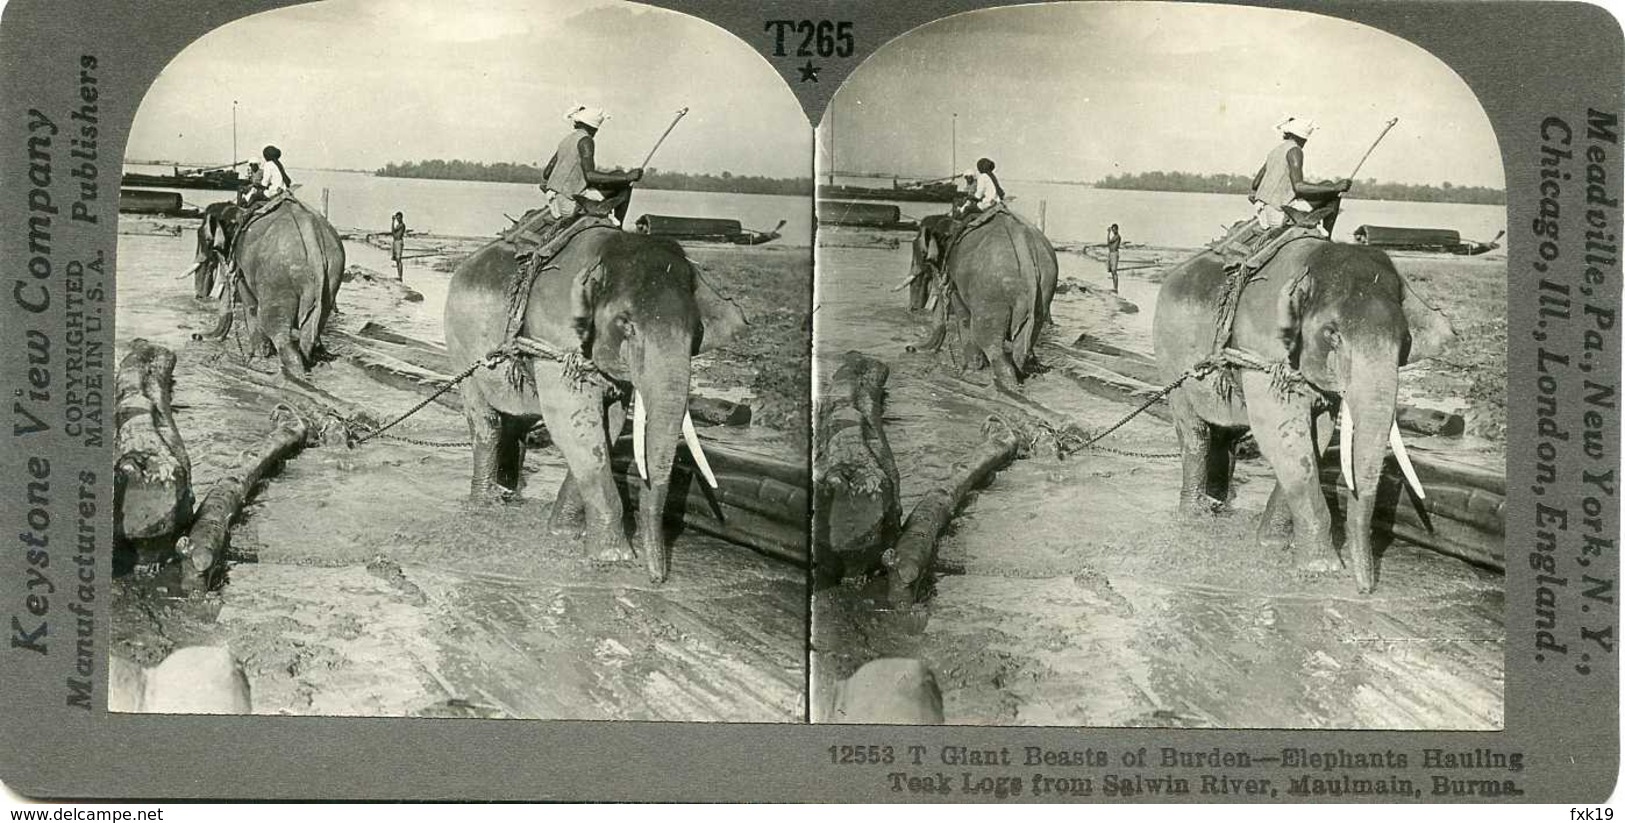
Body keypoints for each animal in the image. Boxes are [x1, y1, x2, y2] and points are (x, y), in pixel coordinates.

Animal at [200, 194, 346, 374]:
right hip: (331, 276)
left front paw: (257, 357)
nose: (196, 336)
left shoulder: (242, 268)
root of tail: (311, 235)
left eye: (210, 244)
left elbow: (250, 306)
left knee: (274, 327)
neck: (240, 211)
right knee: (310, 333)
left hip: (278, 281)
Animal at [445, 227, 747, 582]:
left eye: (696, 330)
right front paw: (613, 558)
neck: (609, 250)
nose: (657, 578)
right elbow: (571, 422)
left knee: (516, 424)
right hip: (459, 345)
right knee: (487, 422)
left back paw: (508, 495)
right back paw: (484, 504)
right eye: (626, 323)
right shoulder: (554, 333)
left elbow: (610, 426)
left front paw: (563, 533)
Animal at [897, 208, 1059, 388]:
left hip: (991, 295)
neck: (953, 223)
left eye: (923, 254)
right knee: (1022, 348)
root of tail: (1023, 244)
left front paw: (971, 369)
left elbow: (963, 316)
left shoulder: (956, 278)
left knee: (988, 339)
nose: (910, 348)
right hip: (1043, 291)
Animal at [1150, 237, 1456, 592]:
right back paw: (1195, 516)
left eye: (1405, 339)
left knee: (1224, 436)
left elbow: (1317, 437)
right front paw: (1322, 569)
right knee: (1194, 431)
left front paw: (1271, 544)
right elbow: (1282, 436)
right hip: (1169, 356)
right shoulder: (1261, 347)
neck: (1313, 262)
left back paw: (1217, 506)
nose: (1365, 589)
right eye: (1332, 334)